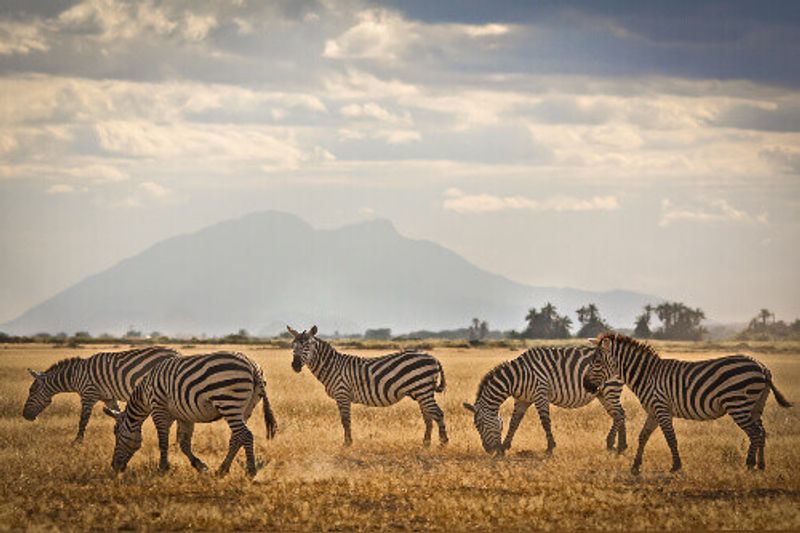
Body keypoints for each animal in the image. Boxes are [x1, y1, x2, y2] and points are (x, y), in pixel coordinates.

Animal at [22, 344, 178, 440]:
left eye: (32, 391)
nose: (25, 416)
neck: (76, 376)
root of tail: (175, 352)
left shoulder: (88, 394)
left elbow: (83, 419)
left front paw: (77, 442)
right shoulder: (109, 398)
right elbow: (116, 414)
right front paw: (119, 433)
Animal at [103, 352, 278, 476]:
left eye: (116, 434)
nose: (114, 466)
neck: (145, 395)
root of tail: (253, 367)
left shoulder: (159, 409)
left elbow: (163, 441)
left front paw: (163, 468)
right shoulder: (184, 416)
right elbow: (184, 443)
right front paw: (200, 466)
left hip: (229, 402)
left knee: (246, 435)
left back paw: (251, 471)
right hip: (246, 408)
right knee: (237, 437)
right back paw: (222, 470)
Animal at [288, 326, 450, 446]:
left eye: (307, 345)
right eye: (293, 346)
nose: (295, 366)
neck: (332, 367)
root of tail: (433, 358)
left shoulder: (342, 394)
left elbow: (345, 420)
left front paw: (347, 444)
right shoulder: (342, 396)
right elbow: (344, 420)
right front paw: (348, 442)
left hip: (422, 389)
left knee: (438, 413)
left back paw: (443, 443)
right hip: (421, 392)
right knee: (428, 416)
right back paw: (426, 443)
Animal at [460, 348, 628, 456]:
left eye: (479, 425)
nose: (488, 450)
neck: (516, 378)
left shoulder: (540, 394)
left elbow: (545, 422)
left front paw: (550, 448)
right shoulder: (522, 400)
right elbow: (514, 422)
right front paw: (504, 447)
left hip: (610, 388)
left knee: (619, 414)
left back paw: (612, 444)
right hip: (602, 393)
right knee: (619, 414)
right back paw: (621, 446)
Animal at [584, 332, 792, 474]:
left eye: (597, 362)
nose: (586, 385)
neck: (647, 375)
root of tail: (762, 367)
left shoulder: (662, 408)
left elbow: (670, 438)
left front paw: (676, 466)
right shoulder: (653, 411)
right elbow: (643, 437)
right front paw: (635, 466)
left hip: (738, 405)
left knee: (755, 433)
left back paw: (749, 465)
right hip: (756, 406)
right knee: (762, 432)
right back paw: (761, 465)